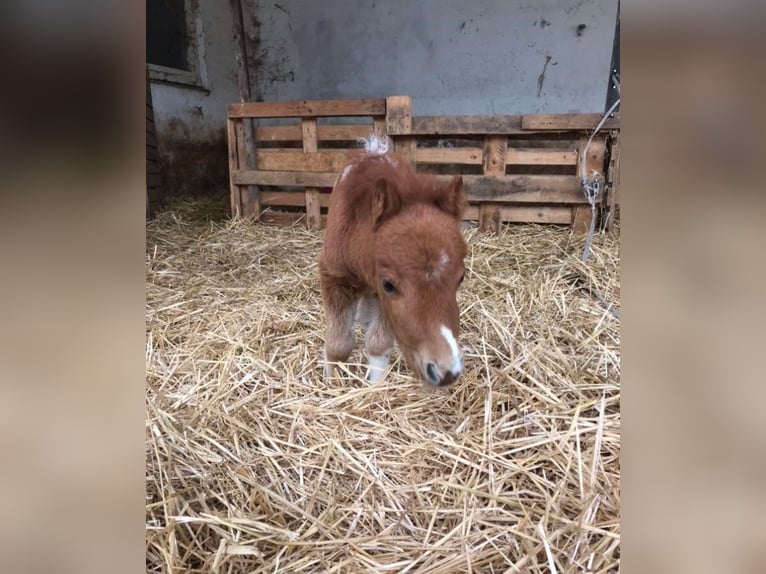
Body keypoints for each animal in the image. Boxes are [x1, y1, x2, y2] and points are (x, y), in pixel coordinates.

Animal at [318, 142, 468, 388]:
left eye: (461, 278)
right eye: (388, 285)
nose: (446, 371)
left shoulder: (382, 302)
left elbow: (378, 345)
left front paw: (376, 388)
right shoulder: (335, 277)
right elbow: (338, 345)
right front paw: (332, 383)